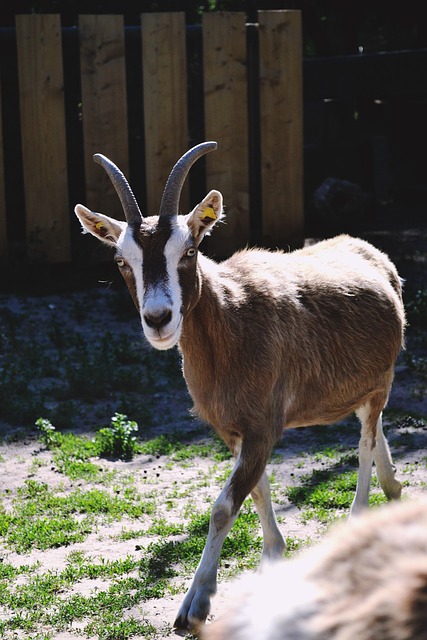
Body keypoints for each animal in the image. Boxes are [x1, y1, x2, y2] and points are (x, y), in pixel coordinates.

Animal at [74, 141, 405, 631]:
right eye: (121, 260)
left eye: (189, 249)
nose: (158, 319)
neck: (233, 316)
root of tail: (370, 252)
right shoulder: (234, 431)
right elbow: (258, 489)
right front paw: (273, 559)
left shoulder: (264, 427)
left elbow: (224, 506)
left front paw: (195, 605)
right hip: (366, 385)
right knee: (374, 421)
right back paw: (393, 485)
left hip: (381, 380)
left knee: (364, 440)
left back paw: (361, 513)